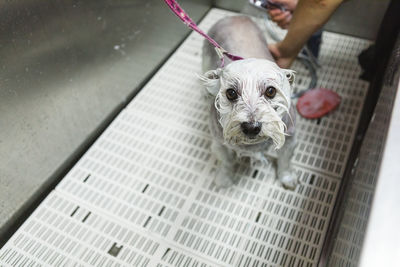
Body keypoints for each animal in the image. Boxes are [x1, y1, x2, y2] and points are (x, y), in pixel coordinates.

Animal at [200, 15, 296, 191]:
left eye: (270, 91)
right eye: (231, 93)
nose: (251, 127)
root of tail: (235, 16)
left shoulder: (291, 138)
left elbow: (285, 161)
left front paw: (287, 178)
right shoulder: (219, 144)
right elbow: (226, 162)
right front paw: (224, 179)